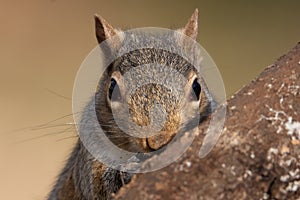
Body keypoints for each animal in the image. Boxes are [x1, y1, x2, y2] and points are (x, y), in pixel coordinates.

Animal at [48, 9, 214, 200]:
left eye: (197, 87)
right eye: (112, 87)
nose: (158, 141)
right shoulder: (89, 158)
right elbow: (99, 184)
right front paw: (125, 172)